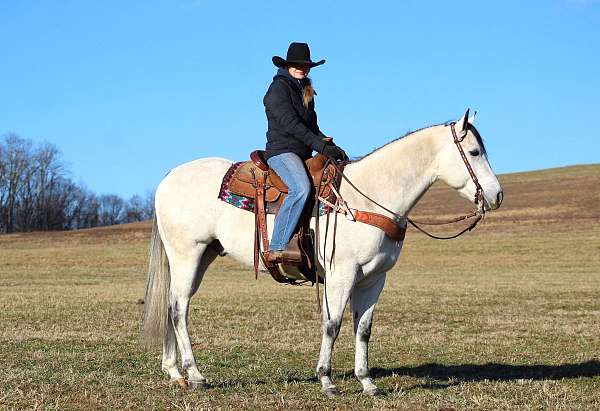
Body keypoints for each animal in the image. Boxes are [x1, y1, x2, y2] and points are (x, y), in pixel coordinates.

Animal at [143, 109, 504, 396]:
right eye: (474, 151)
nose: (497, 195)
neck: (369, 196)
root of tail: (168, 178)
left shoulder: (373, 279)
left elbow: (363, 329)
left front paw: (367, 382)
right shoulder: (340, 274)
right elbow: (332, 324)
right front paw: (327, 380)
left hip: (201, 255)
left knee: (173, 305)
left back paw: (175, 372)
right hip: (187, 254)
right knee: (178, 309)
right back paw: (195, 375)